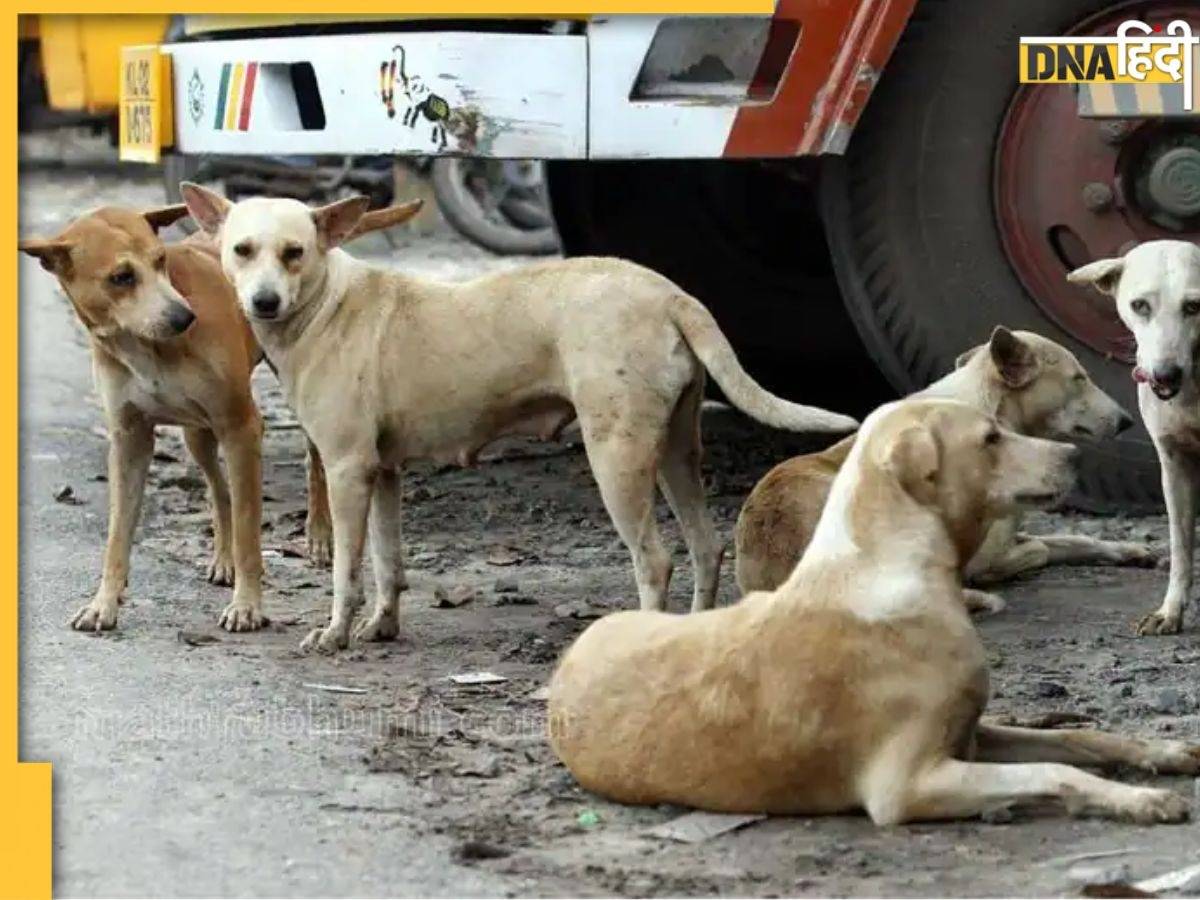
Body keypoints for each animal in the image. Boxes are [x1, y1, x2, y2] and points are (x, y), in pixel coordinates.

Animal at [175, 183, 854, 652]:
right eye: (241, 251)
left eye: (294, 253)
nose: (263, 301)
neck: (326, 305)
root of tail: (668, 292)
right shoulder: (383, 472)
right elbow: (388, 563)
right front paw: (381, 627)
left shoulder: (346, 472)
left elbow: (347, 568)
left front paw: (337, 632)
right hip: (675, 454)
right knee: (707, 549)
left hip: (617, 457)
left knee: (656, 560)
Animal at [552, 400, 1200, 825]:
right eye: (990, 438)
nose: (1074, 455)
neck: (891, 567)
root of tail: (568, 659)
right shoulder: (911, 785)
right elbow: (1052, 772)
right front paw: (1141, 801)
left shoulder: (971, 734)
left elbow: (1081, 738)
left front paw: (1163, 755)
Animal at [729, 324, 1142, 607]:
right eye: (1079, 378)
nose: (1127, 421)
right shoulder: (985, 558)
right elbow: (1039, 547)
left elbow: (1070, 539)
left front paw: (1126, 551)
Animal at [1070, 237, 1200, 633]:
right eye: (1140, 305)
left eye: (1194, 306)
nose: (1165, 374)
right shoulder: (1174, 466)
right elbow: (1181, 549)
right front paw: (1170, 611)